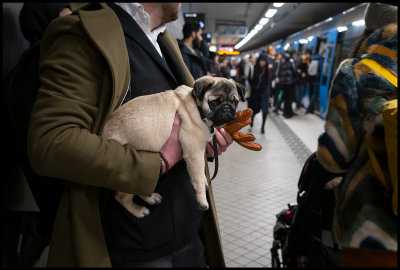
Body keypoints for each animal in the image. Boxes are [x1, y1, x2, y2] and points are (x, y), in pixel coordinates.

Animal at [101, 75, 245, 217]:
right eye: (213, 103)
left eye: (235, 102)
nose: (227, 108)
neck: (198, 108)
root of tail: (105, 133)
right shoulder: (194, 153)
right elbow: (197, 177)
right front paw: (202, 200)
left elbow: (201, 172)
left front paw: (205, 180)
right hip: (134, 173)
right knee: (122, 197)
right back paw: (139, 210)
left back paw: (151, 198)